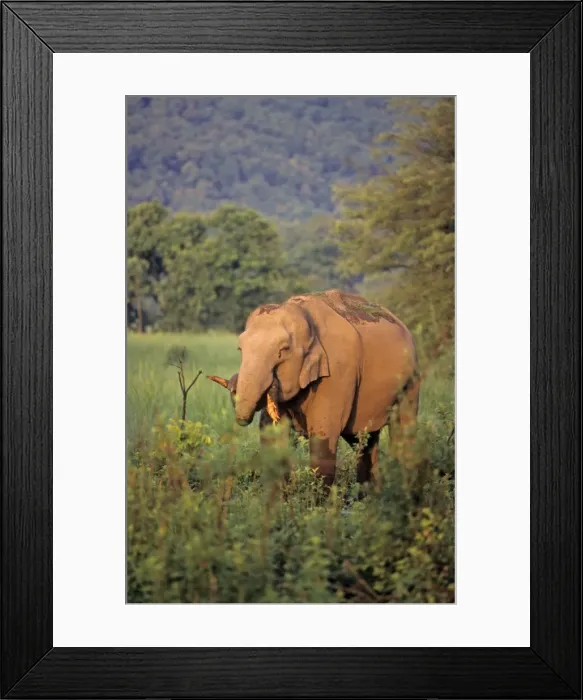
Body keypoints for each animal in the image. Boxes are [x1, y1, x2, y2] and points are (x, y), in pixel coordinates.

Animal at [208, 289, 420, 489]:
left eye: (283, 350)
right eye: (240, 349)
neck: (306, 316)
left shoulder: (337, 372)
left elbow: (322, 440)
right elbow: (273, 438)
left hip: (410, 382)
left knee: (403, 432)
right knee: (364, 441)